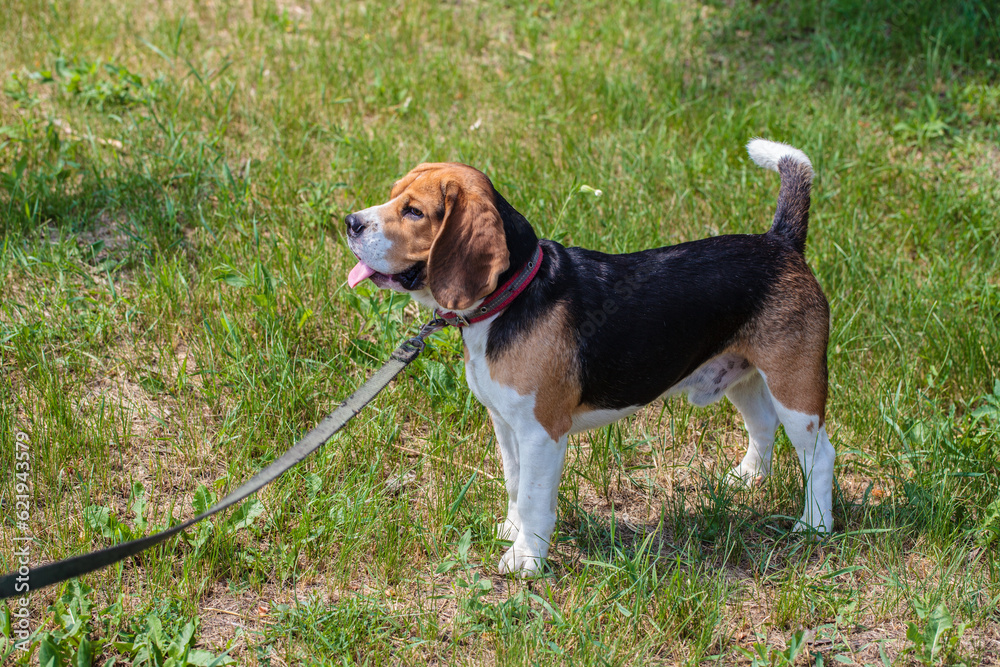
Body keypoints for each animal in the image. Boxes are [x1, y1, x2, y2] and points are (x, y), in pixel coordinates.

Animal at [348, 140, 832, 576]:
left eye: (414, 212)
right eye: (393, 194)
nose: (350, 222)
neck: (512, 295)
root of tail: (781, 242)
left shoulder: (541, 432)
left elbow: (532, 497)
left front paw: (526, 559)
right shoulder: (505, 424)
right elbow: (514, 484)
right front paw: (511, 532)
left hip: (795, 385)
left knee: (819, 456)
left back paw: (816, 527)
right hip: (741, 375)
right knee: (762, 424)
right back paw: (747, 478)